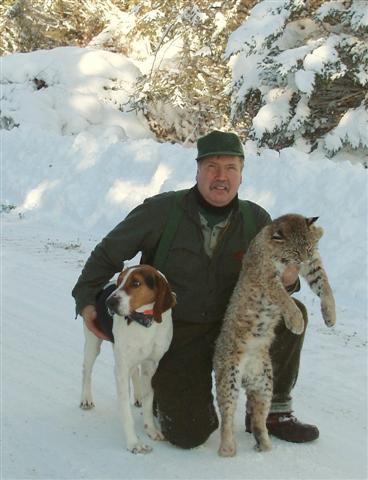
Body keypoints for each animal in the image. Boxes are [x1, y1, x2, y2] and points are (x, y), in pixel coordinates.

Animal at [79, 264, 177, 456]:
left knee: (135, 372)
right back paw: (86, 399)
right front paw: (134, 443)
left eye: (136, 283)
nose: (109, 303)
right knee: (87, 369)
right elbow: (125, 412)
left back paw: (137, 396)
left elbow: (148, 399)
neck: (144, 323)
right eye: (119, 281)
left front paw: (150, 429)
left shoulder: (150, 365)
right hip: (93, 342)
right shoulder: (121, 371)